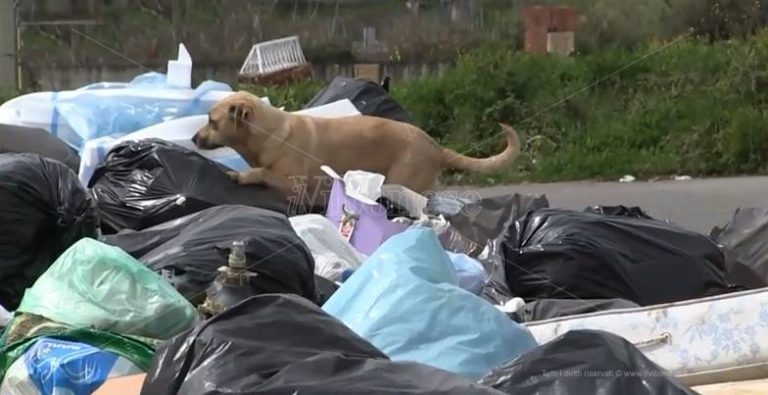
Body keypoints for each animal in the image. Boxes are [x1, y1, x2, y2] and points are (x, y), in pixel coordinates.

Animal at [194, 91, 520, 210]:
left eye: (212, 120)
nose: (195, 139)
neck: (269, 133)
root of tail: (434, 145)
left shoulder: (294, 185)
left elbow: (262, 172)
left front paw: (243, 176)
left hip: (399, 185)